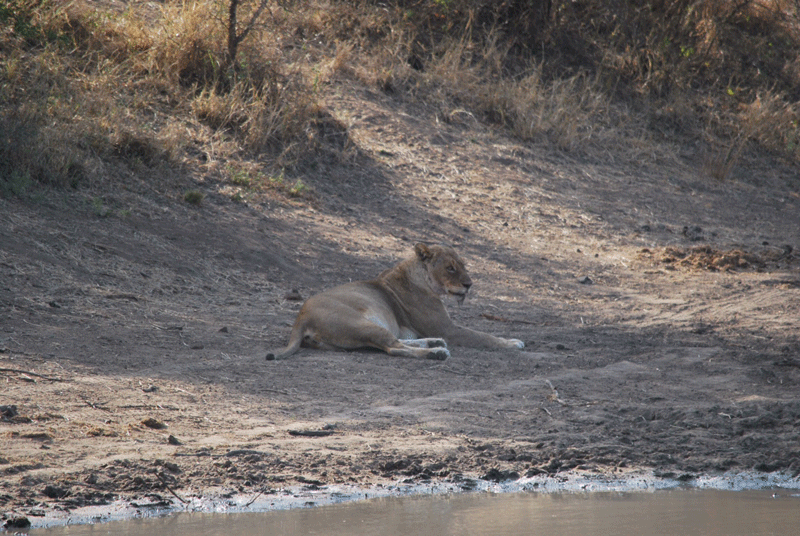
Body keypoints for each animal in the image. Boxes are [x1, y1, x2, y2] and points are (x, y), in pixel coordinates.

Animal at [266, 243, 525, 360]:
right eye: (450, 268)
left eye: (463, 265)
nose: (469, 284)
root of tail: (301, 317)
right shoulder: (448, 328)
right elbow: (484, 336)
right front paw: (513, 343)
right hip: (361, 323)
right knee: (394, 347)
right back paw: (437, 351)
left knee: (395, 341)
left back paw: (433, 343)